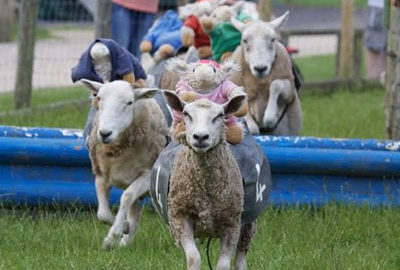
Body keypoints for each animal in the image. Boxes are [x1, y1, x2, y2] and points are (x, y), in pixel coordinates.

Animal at [80, 79, 168, 250]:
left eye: (129, 102)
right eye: (99, 98)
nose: (105, 133)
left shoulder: (147, 175)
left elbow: (126, 197)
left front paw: (114, 234)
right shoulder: (101, 174)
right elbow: (103, 214)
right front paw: (123, 226)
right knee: (135, 212)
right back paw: (125, 240)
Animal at [162, 89, 256, 268]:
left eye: (220, 115)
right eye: (186, 114)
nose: (200, 137)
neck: (206, 189)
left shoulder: (232, 224)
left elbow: (223, 265)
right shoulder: (179, 217)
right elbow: (194, 258)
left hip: (248, 224)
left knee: (240, 259)